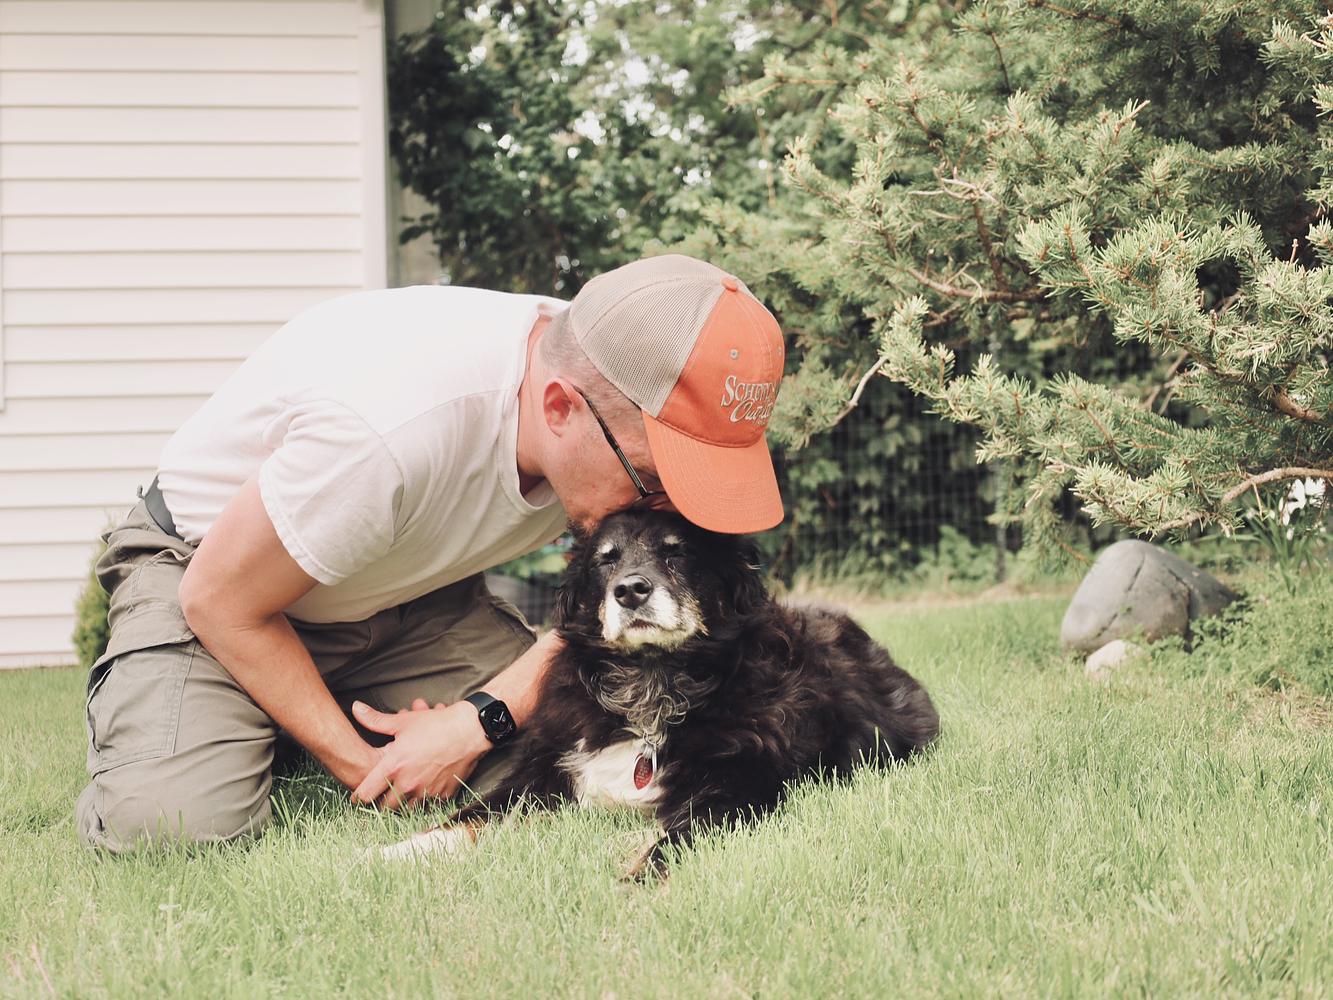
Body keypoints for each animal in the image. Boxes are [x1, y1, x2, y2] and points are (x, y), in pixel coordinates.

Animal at [380, 509, 940, 876]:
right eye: (605, 561)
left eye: (677, 552)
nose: (630, 590)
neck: (654, 686)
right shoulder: (540, 773)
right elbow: (467, 817)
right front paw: (389, 853)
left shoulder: (741, 788)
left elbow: (674, 839)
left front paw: (635, 876)